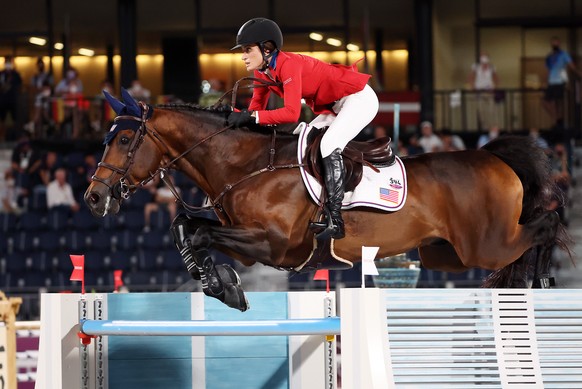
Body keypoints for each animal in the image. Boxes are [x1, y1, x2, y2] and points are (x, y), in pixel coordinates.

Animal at [84, 89, 572, 310]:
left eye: (123, 139)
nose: (93, 197)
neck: (246, 164)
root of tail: (493, 156)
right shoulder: (252, 243)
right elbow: (186, 228)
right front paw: (220, 284)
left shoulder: (274, 244)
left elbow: (198, 231)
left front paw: (223, 286)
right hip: (445, 254)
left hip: (484, 245)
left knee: (546, 223)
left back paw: (541, 279)